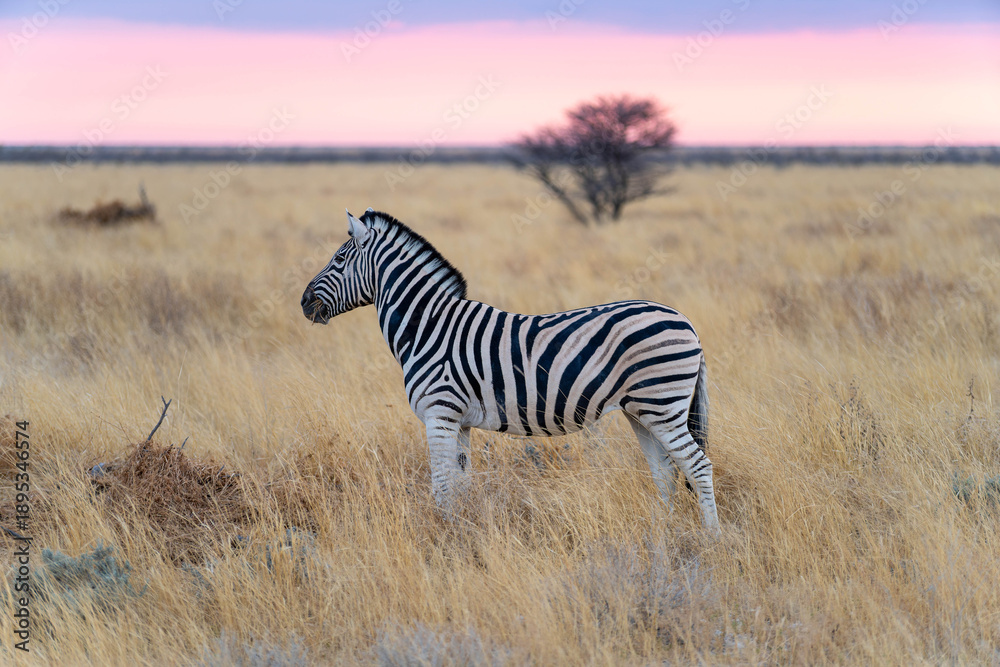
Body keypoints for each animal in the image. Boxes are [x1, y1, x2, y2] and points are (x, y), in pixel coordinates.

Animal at [301, 209, 720, 533]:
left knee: (697, 465)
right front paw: (462, 531)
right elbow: (460, 484)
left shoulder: (439, 414)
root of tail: (685, 320)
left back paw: (712, 540)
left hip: (662, 404)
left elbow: (441, 486)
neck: (428, 327)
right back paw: (662, 533)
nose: (304, 303)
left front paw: (443, 537)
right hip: (642, 411)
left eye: (339, 260)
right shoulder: (460, 422)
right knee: (665, 472)